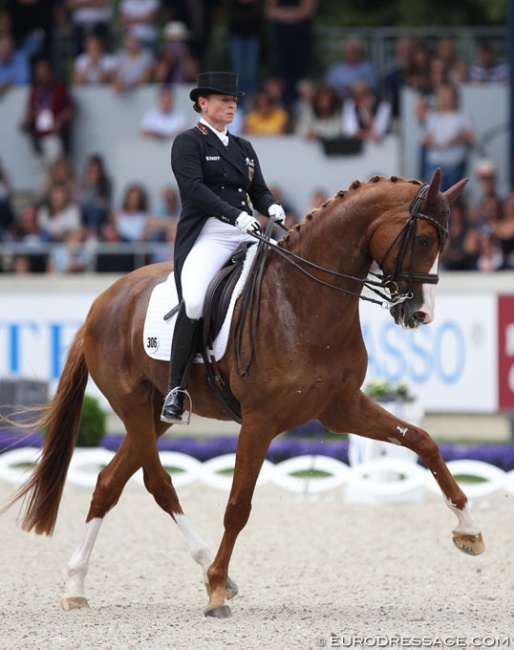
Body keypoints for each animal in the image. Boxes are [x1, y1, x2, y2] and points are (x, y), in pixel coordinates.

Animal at [4, 170, 482, 616]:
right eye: (424, 238)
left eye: (446, 241)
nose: (421, 313)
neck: (304, 300)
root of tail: (103, 301)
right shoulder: (260, 420)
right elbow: (238, 504)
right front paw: (216, 588)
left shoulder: (341, 408)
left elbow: (422, 440)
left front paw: (469, 529)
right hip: (133, 405)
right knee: (158, 483)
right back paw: (204, 568)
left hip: (156, 414)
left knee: (108, 483)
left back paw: (75, 585)